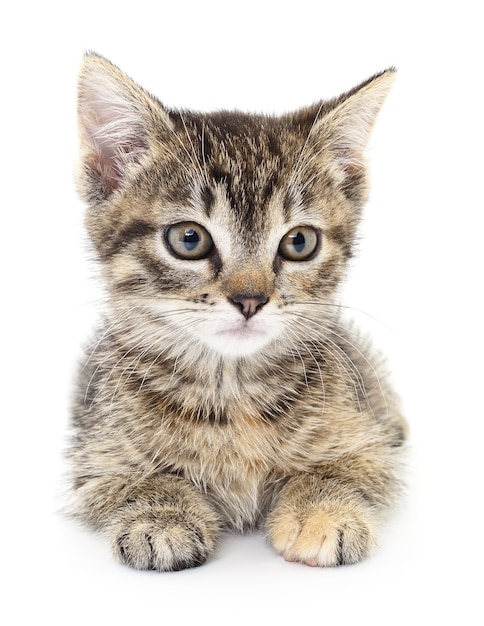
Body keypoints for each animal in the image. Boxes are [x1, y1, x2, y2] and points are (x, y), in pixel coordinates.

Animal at [70, 53, 406, 572]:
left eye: (299, 242)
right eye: (189, 239)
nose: (250, 300)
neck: (233, 393)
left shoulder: (366, 442)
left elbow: (342, 469)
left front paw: (321, 512)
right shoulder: (95, 457)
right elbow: (136, 480)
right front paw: (161, 516)